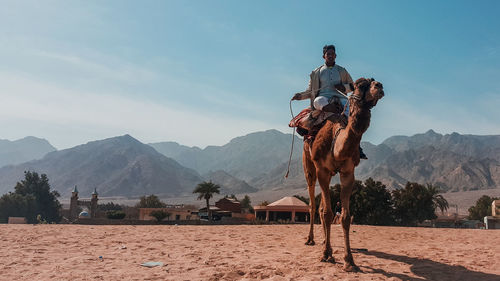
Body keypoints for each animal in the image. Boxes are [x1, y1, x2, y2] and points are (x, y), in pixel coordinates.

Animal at [298, 76, 384, 270]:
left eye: (374, 81)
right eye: (360, 85)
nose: (380, 86)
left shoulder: (348, 173)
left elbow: (344, 217)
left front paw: (349, 260)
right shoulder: (322, 170)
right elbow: (328, 213)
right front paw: (326, 255)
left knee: (321, 207)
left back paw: (324, 241)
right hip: (309, 166)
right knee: (313, 204)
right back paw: (310, 239)